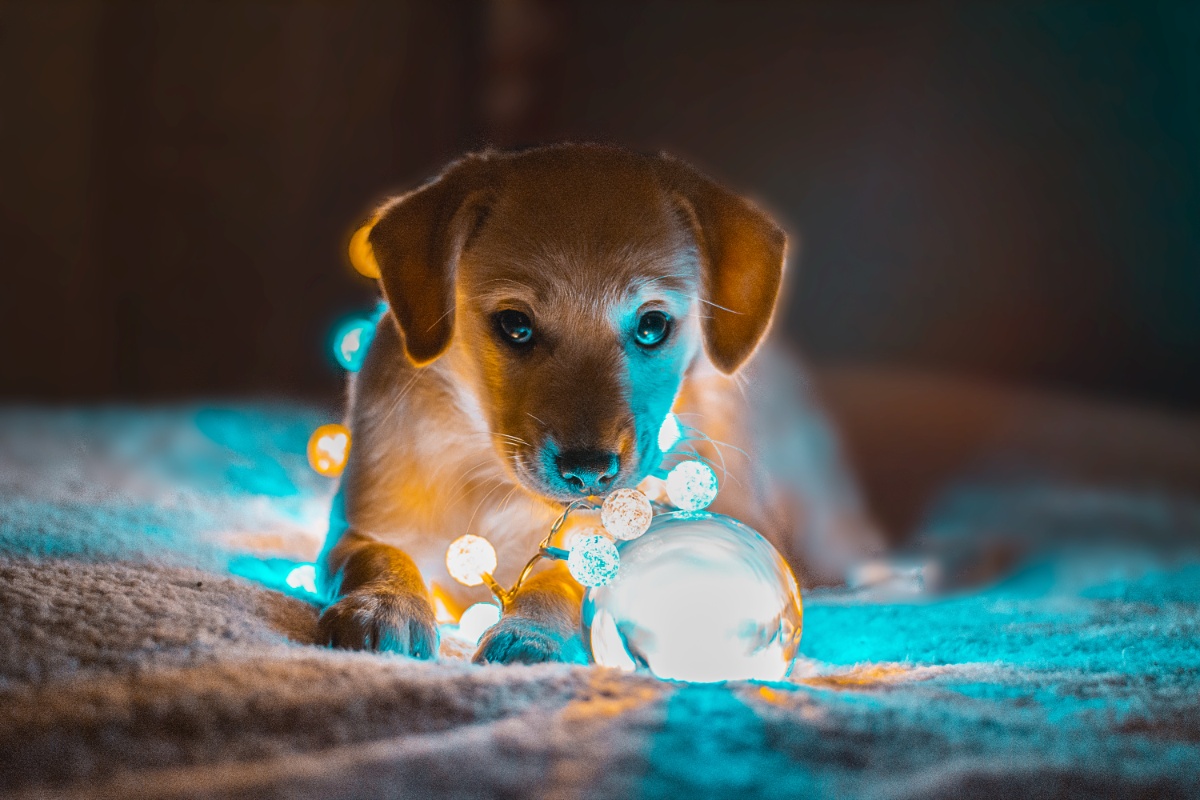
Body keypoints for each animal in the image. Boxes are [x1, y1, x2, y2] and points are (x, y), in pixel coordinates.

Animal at [319, 142, 883, 662]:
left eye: (652, 326)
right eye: (515, 325)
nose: (588, 471)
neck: (491, 485)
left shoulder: (608, 542)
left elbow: (563, 582)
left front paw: (529, 634)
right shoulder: (355, 525)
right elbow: (378, 556)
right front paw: (382, 606)